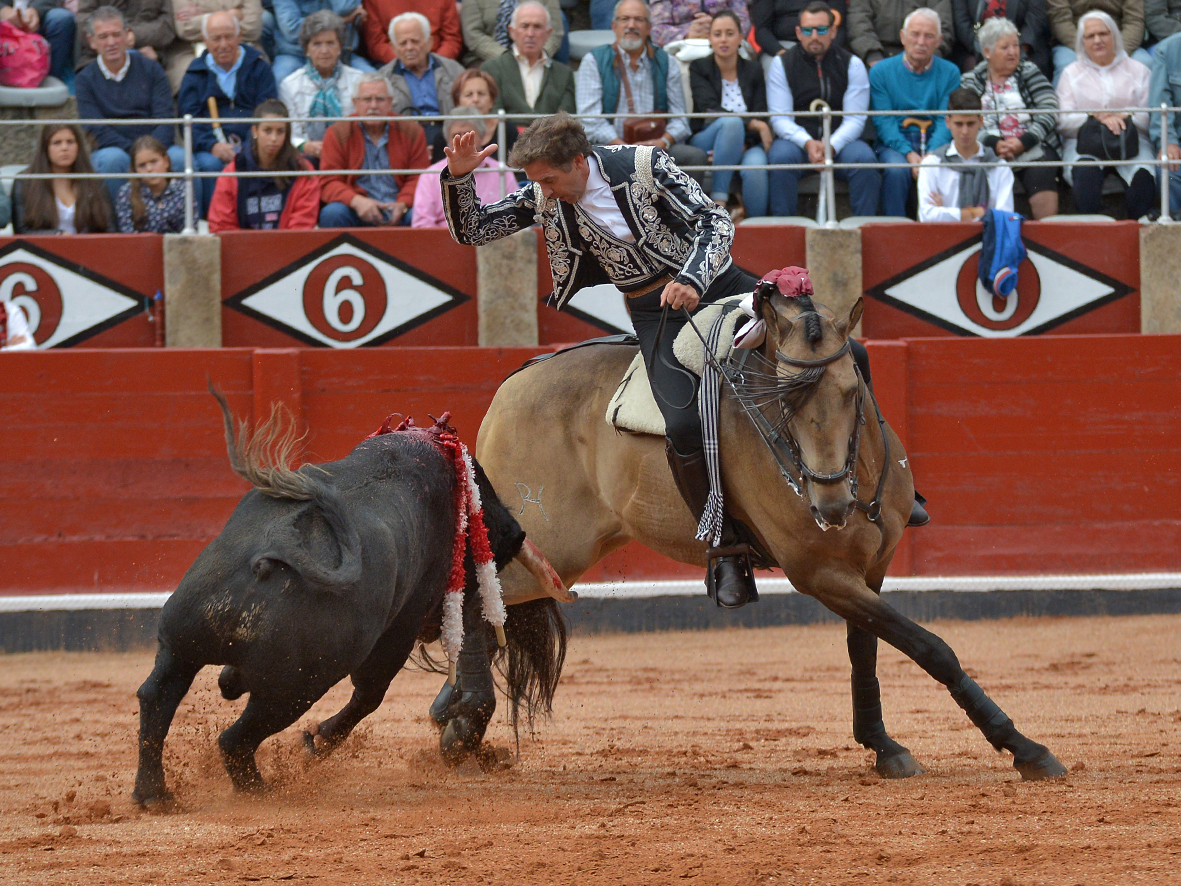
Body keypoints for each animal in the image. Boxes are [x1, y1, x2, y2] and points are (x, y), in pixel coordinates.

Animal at [132, 392, 566, 808]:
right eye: (483, 501)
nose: (515, 532)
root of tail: (272, 550)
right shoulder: (400, 628)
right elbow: (370, 693)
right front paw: (319, 740)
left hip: (181, 643)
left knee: (157, 697)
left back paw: (154, 793)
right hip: (292, 688)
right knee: (236, 738)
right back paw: (257, 788)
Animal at [474, 286, 1067, 782]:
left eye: (852, 392)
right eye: (784, 398)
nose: (831, 505)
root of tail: (510, 386)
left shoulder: (870, 569)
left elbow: (867, 649)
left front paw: (883, 746)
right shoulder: (819, 574)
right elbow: (930, 647)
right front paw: (1024, 748)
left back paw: (464, 730)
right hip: (544, 548)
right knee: (476, 600)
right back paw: (462, 727)